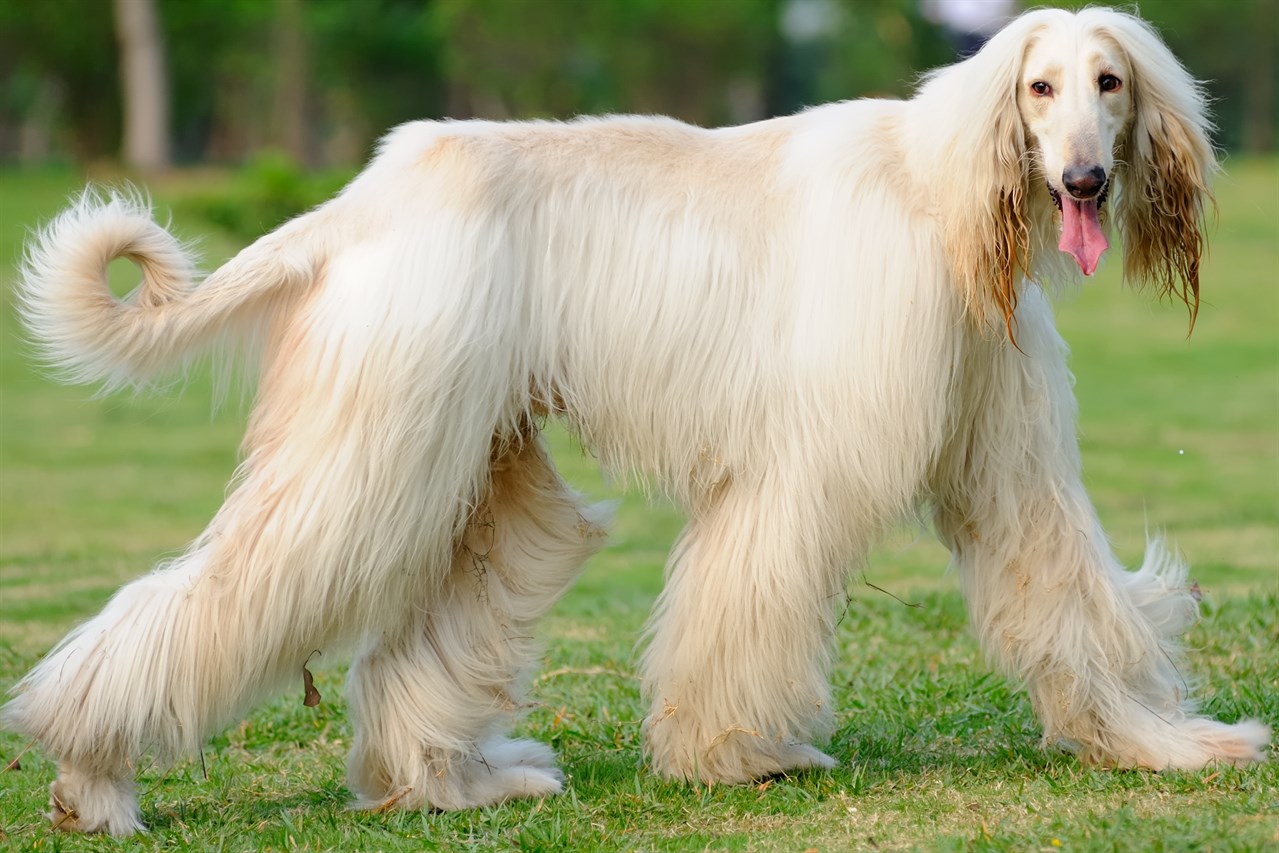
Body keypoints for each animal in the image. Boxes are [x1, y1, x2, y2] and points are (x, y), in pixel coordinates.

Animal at [7, 4, 1268, 833]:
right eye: (1038, 89)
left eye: (1110, 84)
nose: (1083, 183)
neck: (947, 196)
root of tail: (361, 200)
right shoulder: (809, 456)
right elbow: (756, 585)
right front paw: (733, 754)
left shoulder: (999, 442)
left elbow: (1061, 579)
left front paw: (1160, 743)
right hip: (380, 427)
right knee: (248, 579)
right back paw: (93, 775)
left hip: (476, 445)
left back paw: (452, 780)